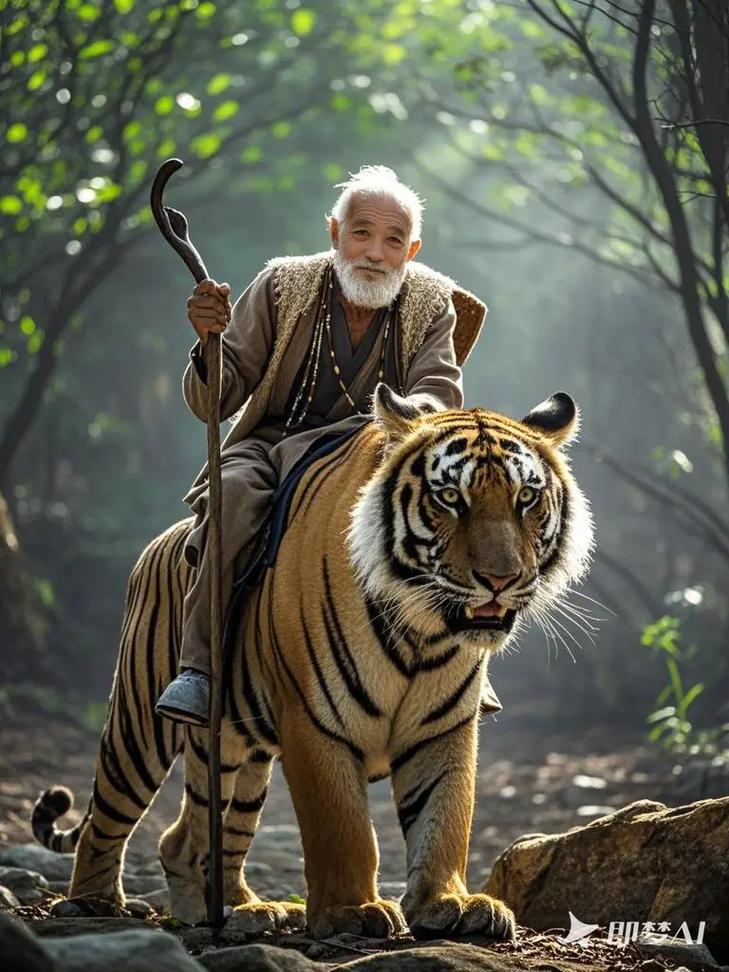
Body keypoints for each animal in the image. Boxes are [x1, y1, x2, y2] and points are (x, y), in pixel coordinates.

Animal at [31, 384, 593, 940]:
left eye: (526, 498)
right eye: (450, 497)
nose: (500, 579)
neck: (423, 631)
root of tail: (163, 540)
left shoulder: (445, 725)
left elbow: (445, 816)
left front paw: (450, 903)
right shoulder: (315, 720)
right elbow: (342, 826)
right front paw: (353, 912)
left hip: (241, 754)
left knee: (191, 838)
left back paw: (242, 910)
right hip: (139, 725)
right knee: (107, 815)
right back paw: (93, 901)